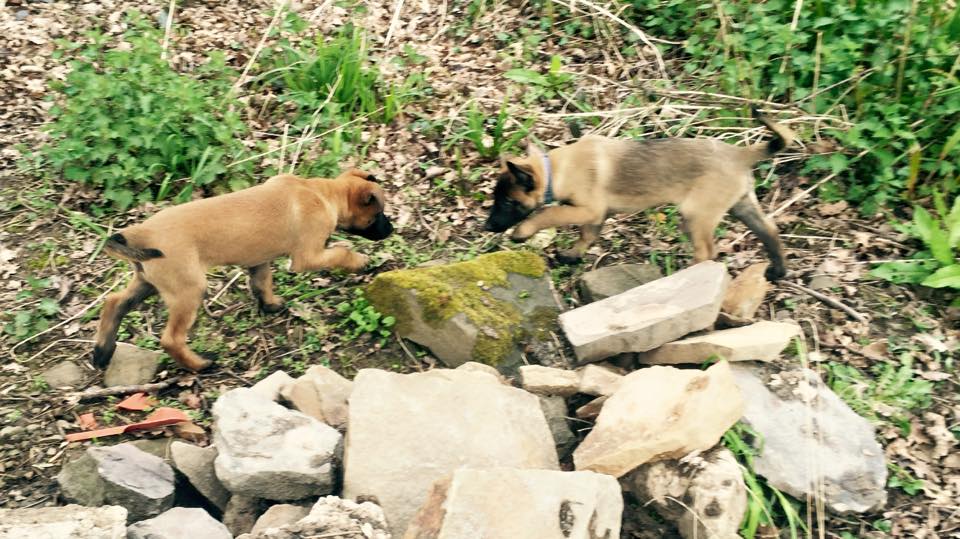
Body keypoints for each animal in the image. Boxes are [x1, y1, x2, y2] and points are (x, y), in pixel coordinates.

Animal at [93, 168, 393, 372]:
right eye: (378, 215)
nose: (391, 230)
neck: (321, 193)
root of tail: (141, 233)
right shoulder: (307, 257)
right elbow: (341, 252)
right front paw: (359, 261)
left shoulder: (258, 260)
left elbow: (262, 283)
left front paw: (270, 305)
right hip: (188, 291)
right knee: (171, 339)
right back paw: (200, 365)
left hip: (148, 281)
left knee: (115, 302)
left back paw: (102, 352)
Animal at [484, 109, 794, 281]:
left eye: (508, 202)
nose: (487, 226)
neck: (555, 170)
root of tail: (740, 154)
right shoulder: (596, 215)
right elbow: (587, 235)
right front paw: (572, 255)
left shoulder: (586, 209)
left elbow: (548, 212)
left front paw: (523, 232)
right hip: (741, 205)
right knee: (769, 231)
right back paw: (778, 271)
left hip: (696, 214)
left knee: (706, 252)